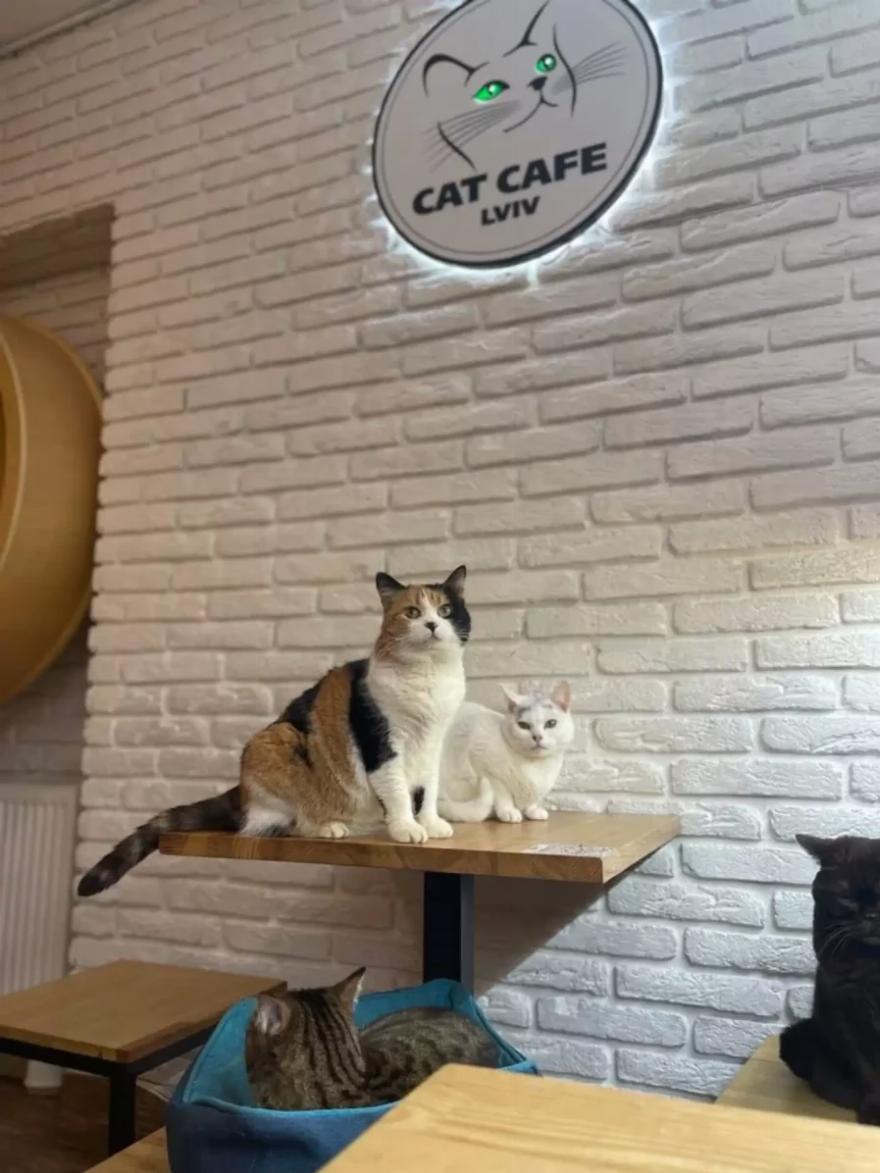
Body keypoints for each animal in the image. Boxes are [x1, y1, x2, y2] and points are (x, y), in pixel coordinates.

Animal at [77, 568, 470, 896]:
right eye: (412, 613)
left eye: (446, 610)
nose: (432, 625)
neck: (428, 677)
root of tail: (241, 790)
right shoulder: (381, 741)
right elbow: (398, 789)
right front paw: (406, 828)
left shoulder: (435, 742)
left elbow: (429, 788)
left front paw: (431, 823)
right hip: (275, 742)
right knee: (285, 824)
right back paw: (328, 827)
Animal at [437, 681, 573, 824]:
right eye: (523, 725)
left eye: (551, 723)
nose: (537, 737)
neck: (536, 766)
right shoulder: (487, 769)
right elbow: (503, 795)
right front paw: (508, 811)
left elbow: (532, 801)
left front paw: (532, 810)